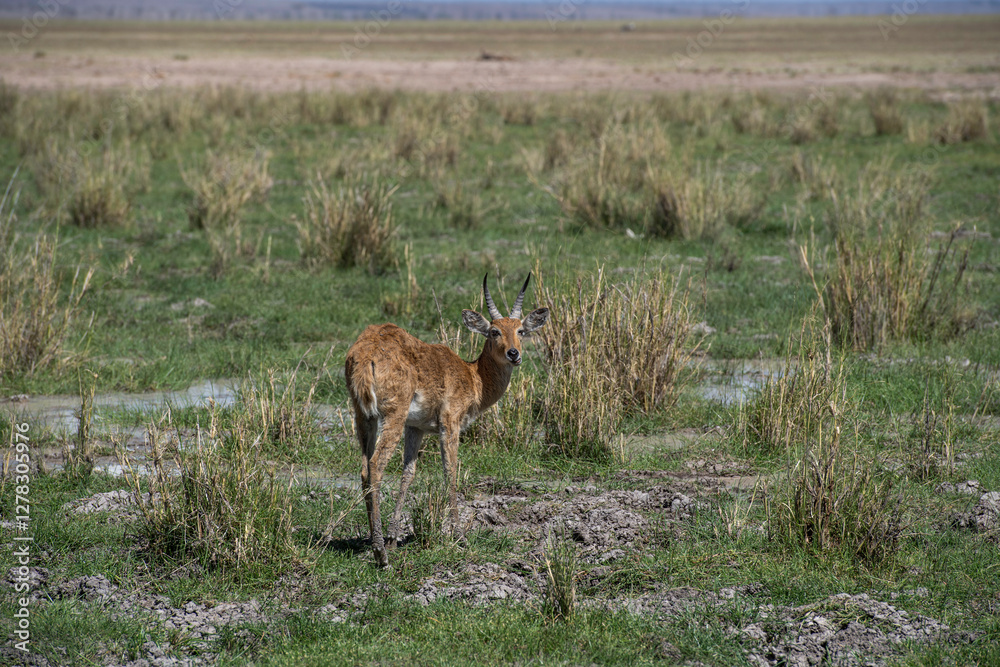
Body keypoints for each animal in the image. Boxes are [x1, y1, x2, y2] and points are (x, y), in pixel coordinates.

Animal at [345, 273, 549, 567]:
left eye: (520, 330)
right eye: (494, 331)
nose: (514, 354)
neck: (473, 376)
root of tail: (365, 352)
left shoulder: (415, 428)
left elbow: (409, 473)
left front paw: (394, 538)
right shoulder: (450, 424)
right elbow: (450, 471)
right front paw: (460, 535)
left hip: (364, 417)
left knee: (363, 468)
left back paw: (377, 539)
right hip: (392, 416)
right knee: (376, 465)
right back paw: (380, 554)